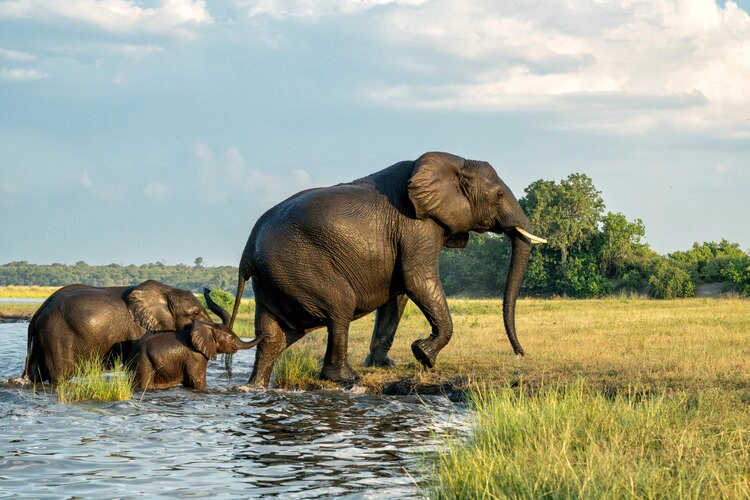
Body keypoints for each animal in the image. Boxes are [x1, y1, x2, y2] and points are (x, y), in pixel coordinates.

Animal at [25, 282, 231, 382]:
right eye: (194, 314)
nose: (207, 289)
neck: (167, 292)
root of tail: (37, 314)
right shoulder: (138, 329)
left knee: (36, 374)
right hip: (56, 334)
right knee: (59, 375)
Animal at [131, 320, 264, 390]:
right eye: (230, 337)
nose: (265, 334)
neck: (208, 325)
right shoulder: (196, 356)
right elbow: (196, 379)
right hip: (143, 361)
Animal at [229, 152, 548, 386]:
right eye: (498, 196)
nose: (520, 354)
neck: (453, 162)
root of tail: (248, 248)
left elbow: (399, 295)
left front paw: (385, 365)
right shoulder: (417, 225)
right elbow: (418, 280)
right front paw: (424, 356)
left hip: (274, 278)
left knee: (273, 336)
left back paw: (256, 386)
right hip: (299, 267)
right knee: (339, 309)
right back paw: (346, 378)